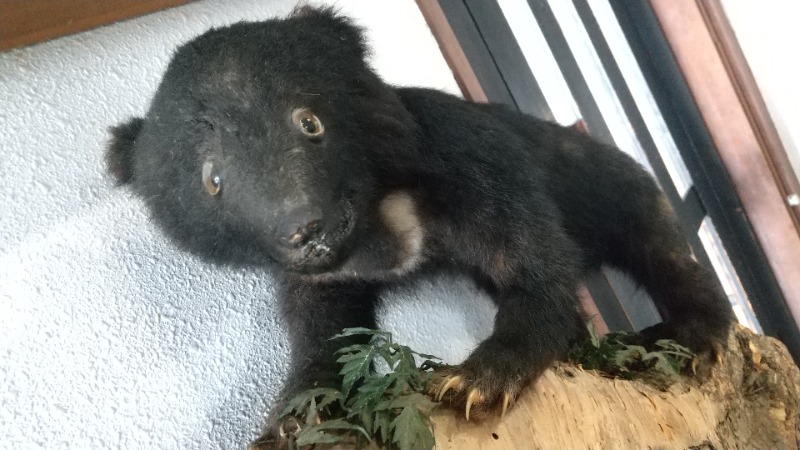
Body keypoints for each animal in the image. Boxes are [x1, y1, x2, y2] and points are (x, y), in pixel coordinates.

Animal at [106, 4, 732, 446]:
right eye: (212, 180)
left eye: (309, 123)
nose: (303, 229)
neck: (376, 222)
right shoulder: (322, 276)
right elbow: (323, 327)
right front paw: (292, 419)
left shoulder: (467, 158)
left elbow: (531, 261)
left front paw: (475, 380)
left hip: (607, 182)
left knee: (659, 245)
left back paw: (691, 337)